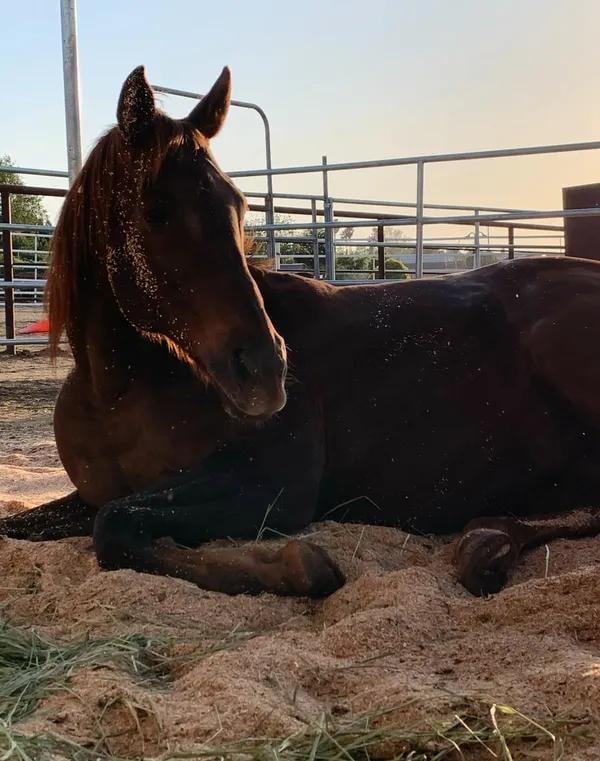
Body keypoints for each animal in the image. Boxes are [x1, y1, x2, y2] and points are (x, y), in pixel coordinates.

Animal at [4, 66, 600, 599]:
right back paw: (487, 537)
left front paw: (297, 566)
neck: (116, 390)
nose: (265, 372)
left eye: (240, 205)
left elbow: (114, 524)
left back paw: (486, 545)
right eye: (156, 211)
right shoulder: (96, 492)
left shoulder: (275, 484)